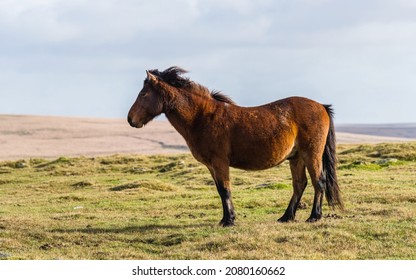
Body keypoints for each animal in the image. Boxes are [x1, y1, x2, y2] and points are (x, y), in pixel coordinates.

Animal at [128, 66, 342, 226]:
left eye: (144, 93)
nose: (131, 119)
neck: (202, 117)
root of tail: (321, 106)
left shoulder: (220, 162)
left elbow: (225, 189)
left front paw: (228, 220)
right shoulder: (212, 166)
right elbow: (220, 190)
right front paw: (226, 218)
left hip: (311, 155)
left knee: (318, 182)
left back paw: (314, 216)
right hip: (296, 157)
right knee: (299, 184)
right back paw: (286, 217)